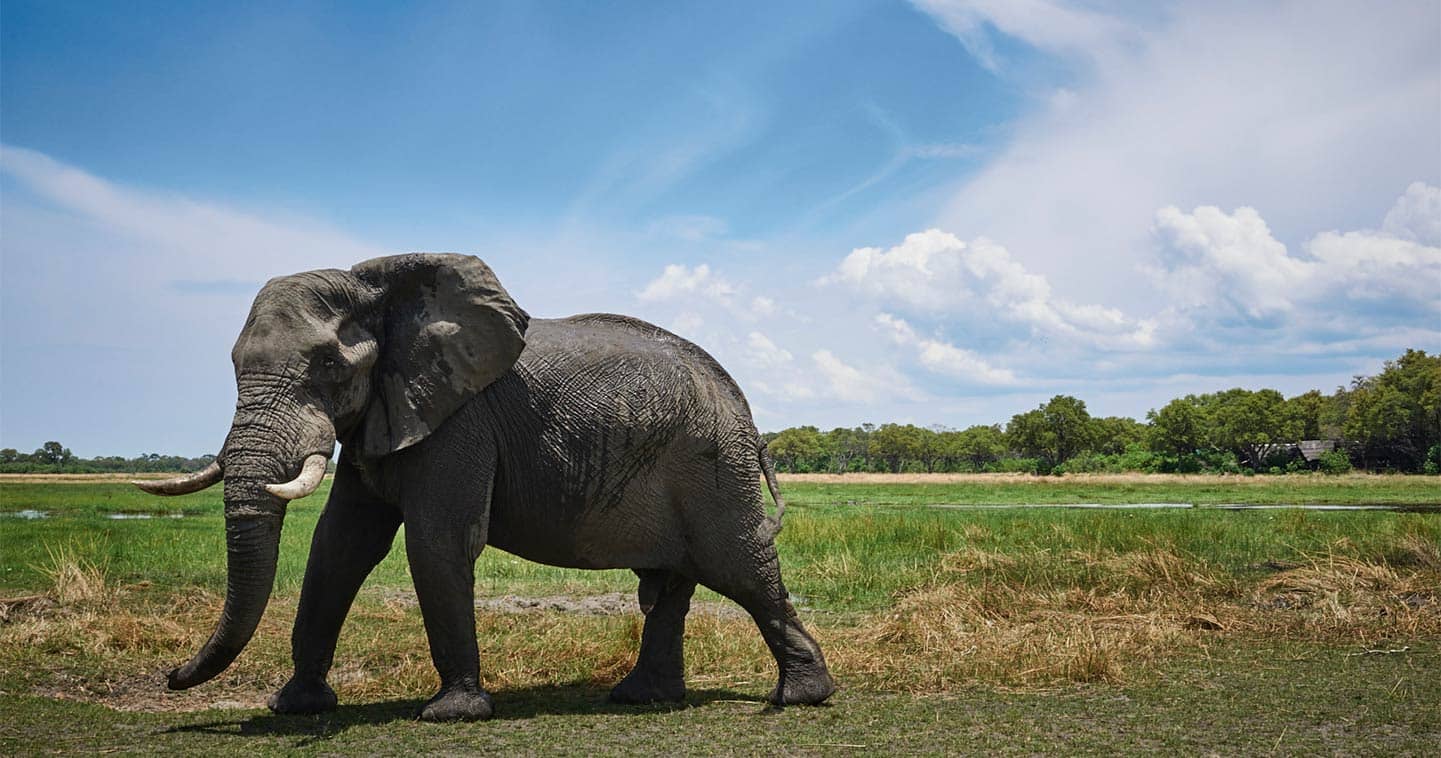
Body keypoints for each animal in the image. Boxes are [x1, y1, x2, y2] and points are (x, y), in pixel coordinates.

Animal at [137, 252, 835, 723]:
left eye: (329, 366)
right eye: (232, 366)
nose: (170, 676)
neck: (376, 283)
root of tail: (743, 405)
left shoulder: (459, 420)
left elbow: (438, 541)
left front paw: (451, 714)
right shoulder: (387, 412)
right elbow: (339, 547)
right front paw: (297, 708)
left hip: (712, 465)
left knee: (739, 566)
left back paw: (801, 697)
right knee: (673, 584)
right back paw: (643, 698)